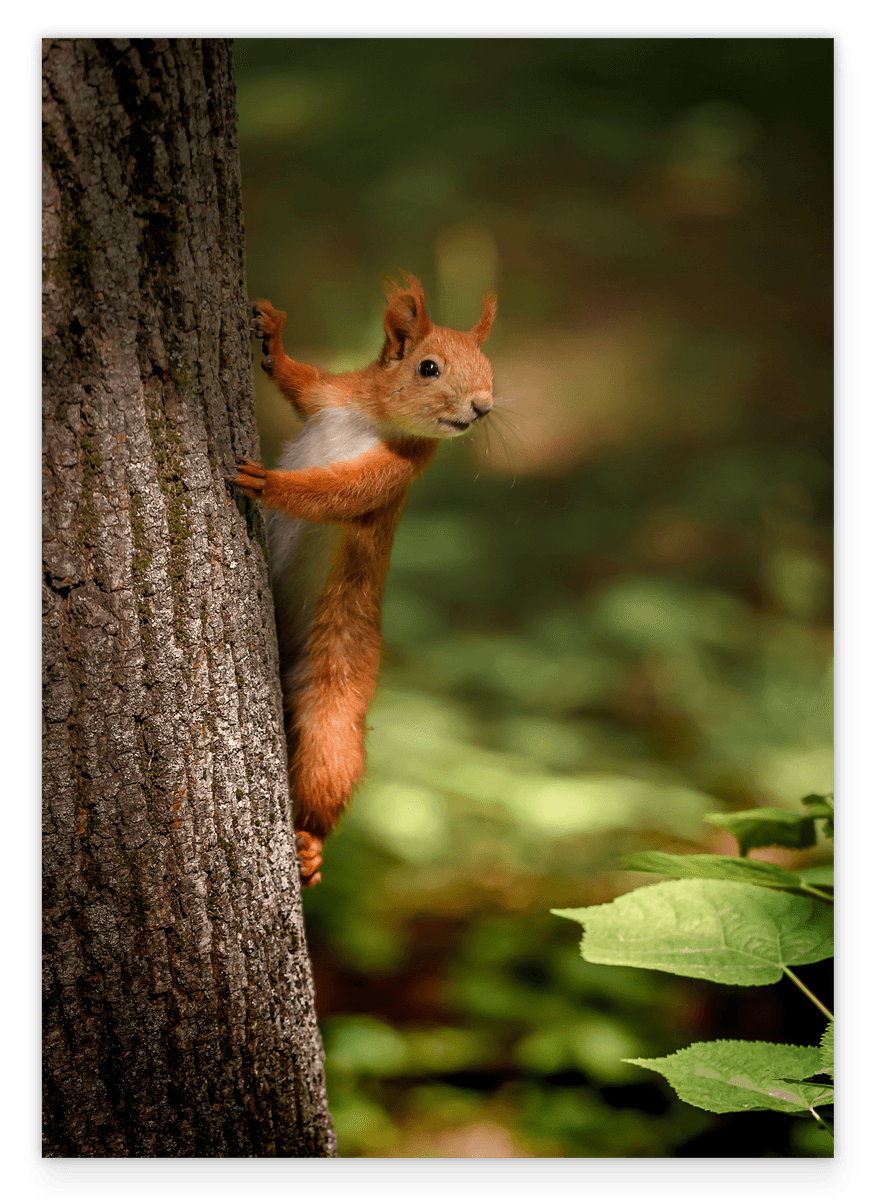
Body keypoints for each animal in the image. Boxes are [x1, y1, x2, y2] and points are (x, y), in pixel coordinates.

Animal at [231, 274, 497, 885]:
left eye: (491, 369)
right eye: (427, 367)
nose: (483, 406)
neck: (373, 420)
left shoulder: (394, 472)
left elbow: (333, 493)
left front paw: (268, 484)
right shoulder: (333, 396)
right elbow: (299, 382)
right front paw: (271, 335)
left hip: (336, 696)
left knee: (327, 770)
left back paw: (309, 845)